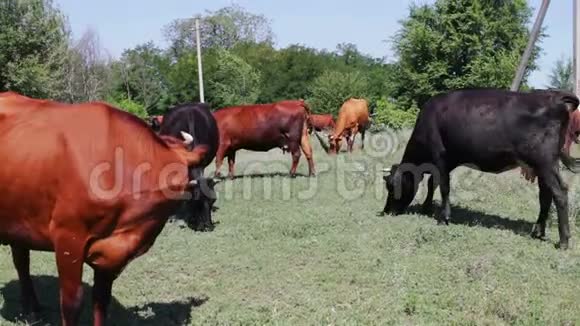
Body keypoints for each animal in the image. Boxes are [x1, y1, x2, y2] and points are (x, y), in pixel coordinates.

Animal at [0, 92, 208, 326]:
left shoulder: (110, 256)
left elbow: (101, 301)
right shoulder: (68, 238)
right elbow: (72, 303)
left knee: (21, 261)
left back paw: (32, 310)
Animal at [380, 88, 580, 250]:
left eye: (392, 187)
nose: (386, 211)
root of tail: (553, 96)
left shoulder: (440, 155)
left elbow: (443, 187)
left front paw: (444, 217)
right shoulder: (448, 161)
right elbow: (432, 184)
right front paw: (426, 207)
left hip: (545, 162)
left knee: (559, 193)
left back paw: (563, 241)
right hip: (542, 166)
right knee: (545, 196)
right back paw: (538, 232)